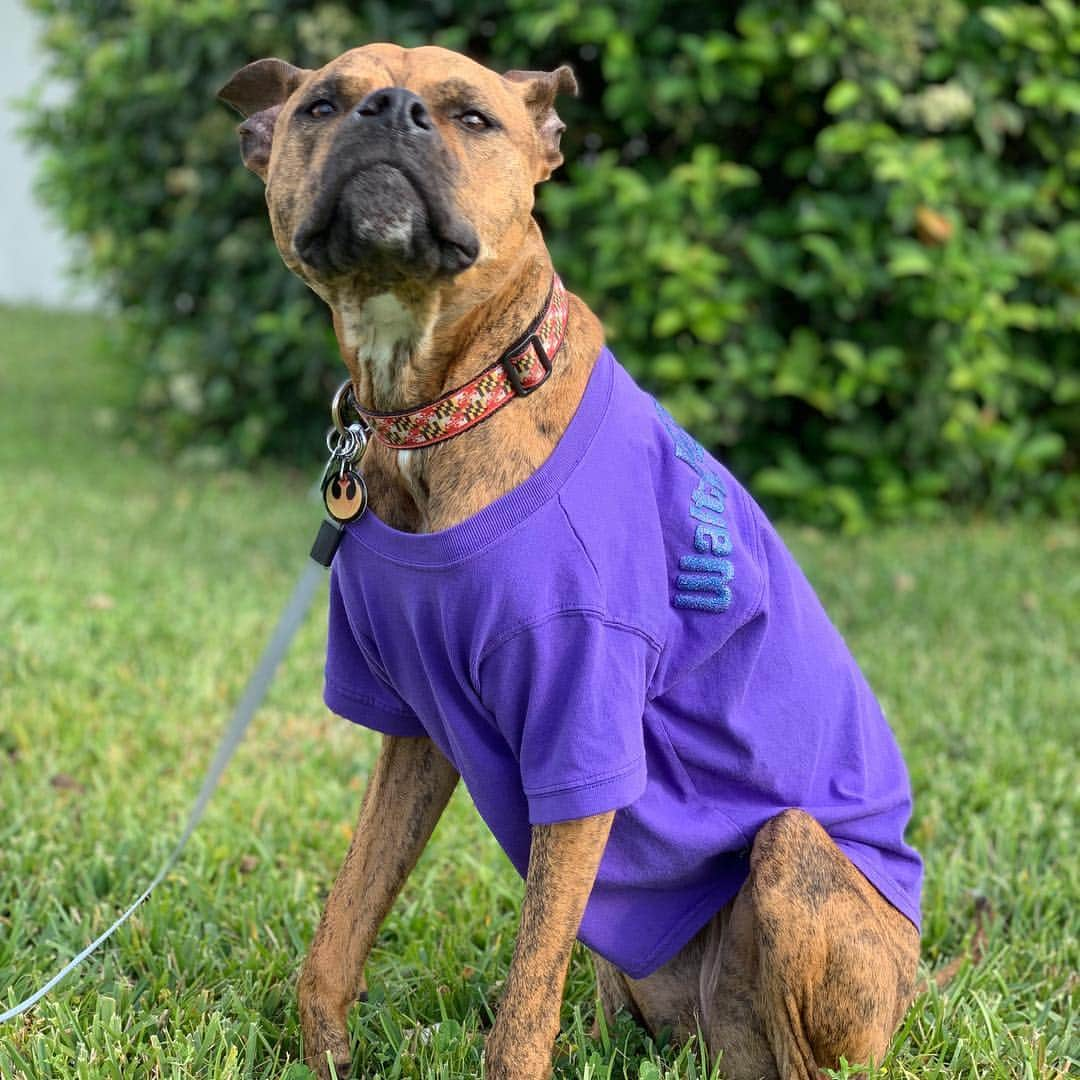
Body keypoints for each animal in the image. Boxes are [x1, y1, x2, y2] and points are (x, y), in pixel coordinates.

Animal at [217, 44, 920, 1080]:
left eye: (472, 116)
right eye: (321, 104)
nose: (390, 111)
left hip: (793, 858)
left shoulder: (582, 726)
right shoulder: (414, 728)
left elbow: (524, 998)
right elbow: (342, 926)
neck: (453, 402)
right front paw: (328, 1055)